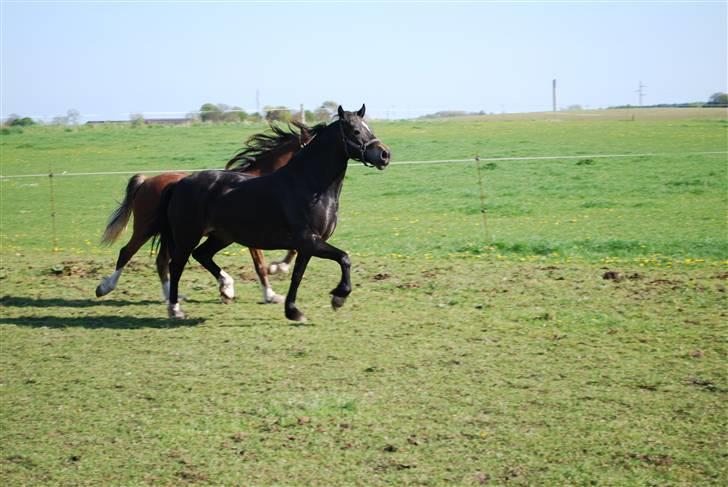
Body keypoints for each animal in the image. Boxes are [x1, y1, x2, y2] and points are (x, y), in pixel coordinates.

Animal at [96, 121, 318, 304]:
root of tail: (146, 181)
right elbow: (260, 265)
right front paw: (270, 293)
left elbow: (292, 250)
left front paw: (276, 271)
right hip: (146, 228)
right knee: (127, 252)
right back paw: (105, 287)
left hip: (171, 233)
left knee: (161, 261)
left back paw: (172, 296)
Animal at [157, 105, 390, 322]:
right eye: (355, 130)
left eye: (369, 128)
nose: (385, 155)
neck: (309, 185)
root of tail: (180, 183)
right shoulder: (309, 240)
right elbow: (344, 258)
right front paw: (338, 297)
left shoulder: (307, 246)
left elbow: (297, 275)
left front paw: (293, 311)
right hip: (188, 236)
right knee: (176, 266)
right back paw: (175, 309)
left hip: (222, 236)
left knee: (202, 255)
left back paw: (226, 287)